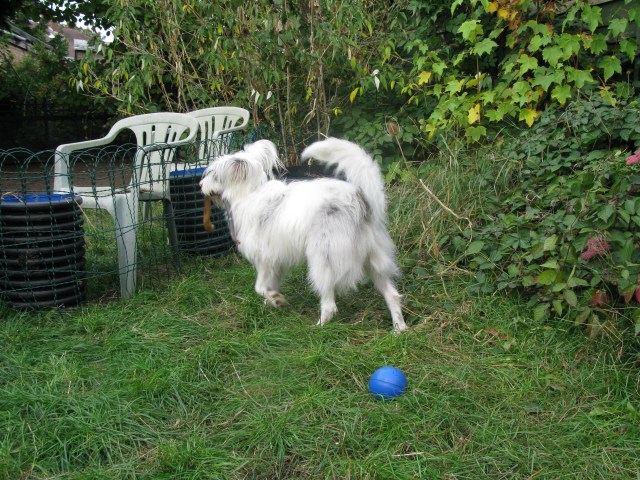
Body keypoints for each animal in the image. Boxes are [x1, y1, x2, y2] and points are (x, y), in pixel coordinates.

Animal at [199, 138, 407, 333]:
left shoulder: (265, 260)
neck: (249, 192)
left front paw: (275, 299)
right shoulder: (276, 263)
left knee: (330, 305)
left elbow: (260, 287)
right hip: (374, 262)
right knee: (392, 295)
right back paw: (399, 329)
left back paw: (319, 327)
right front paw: (273, 302)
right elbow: (270, 286)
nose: (200, 184)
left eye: (212, 174)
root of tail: (361, 200)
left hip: (323, 262)